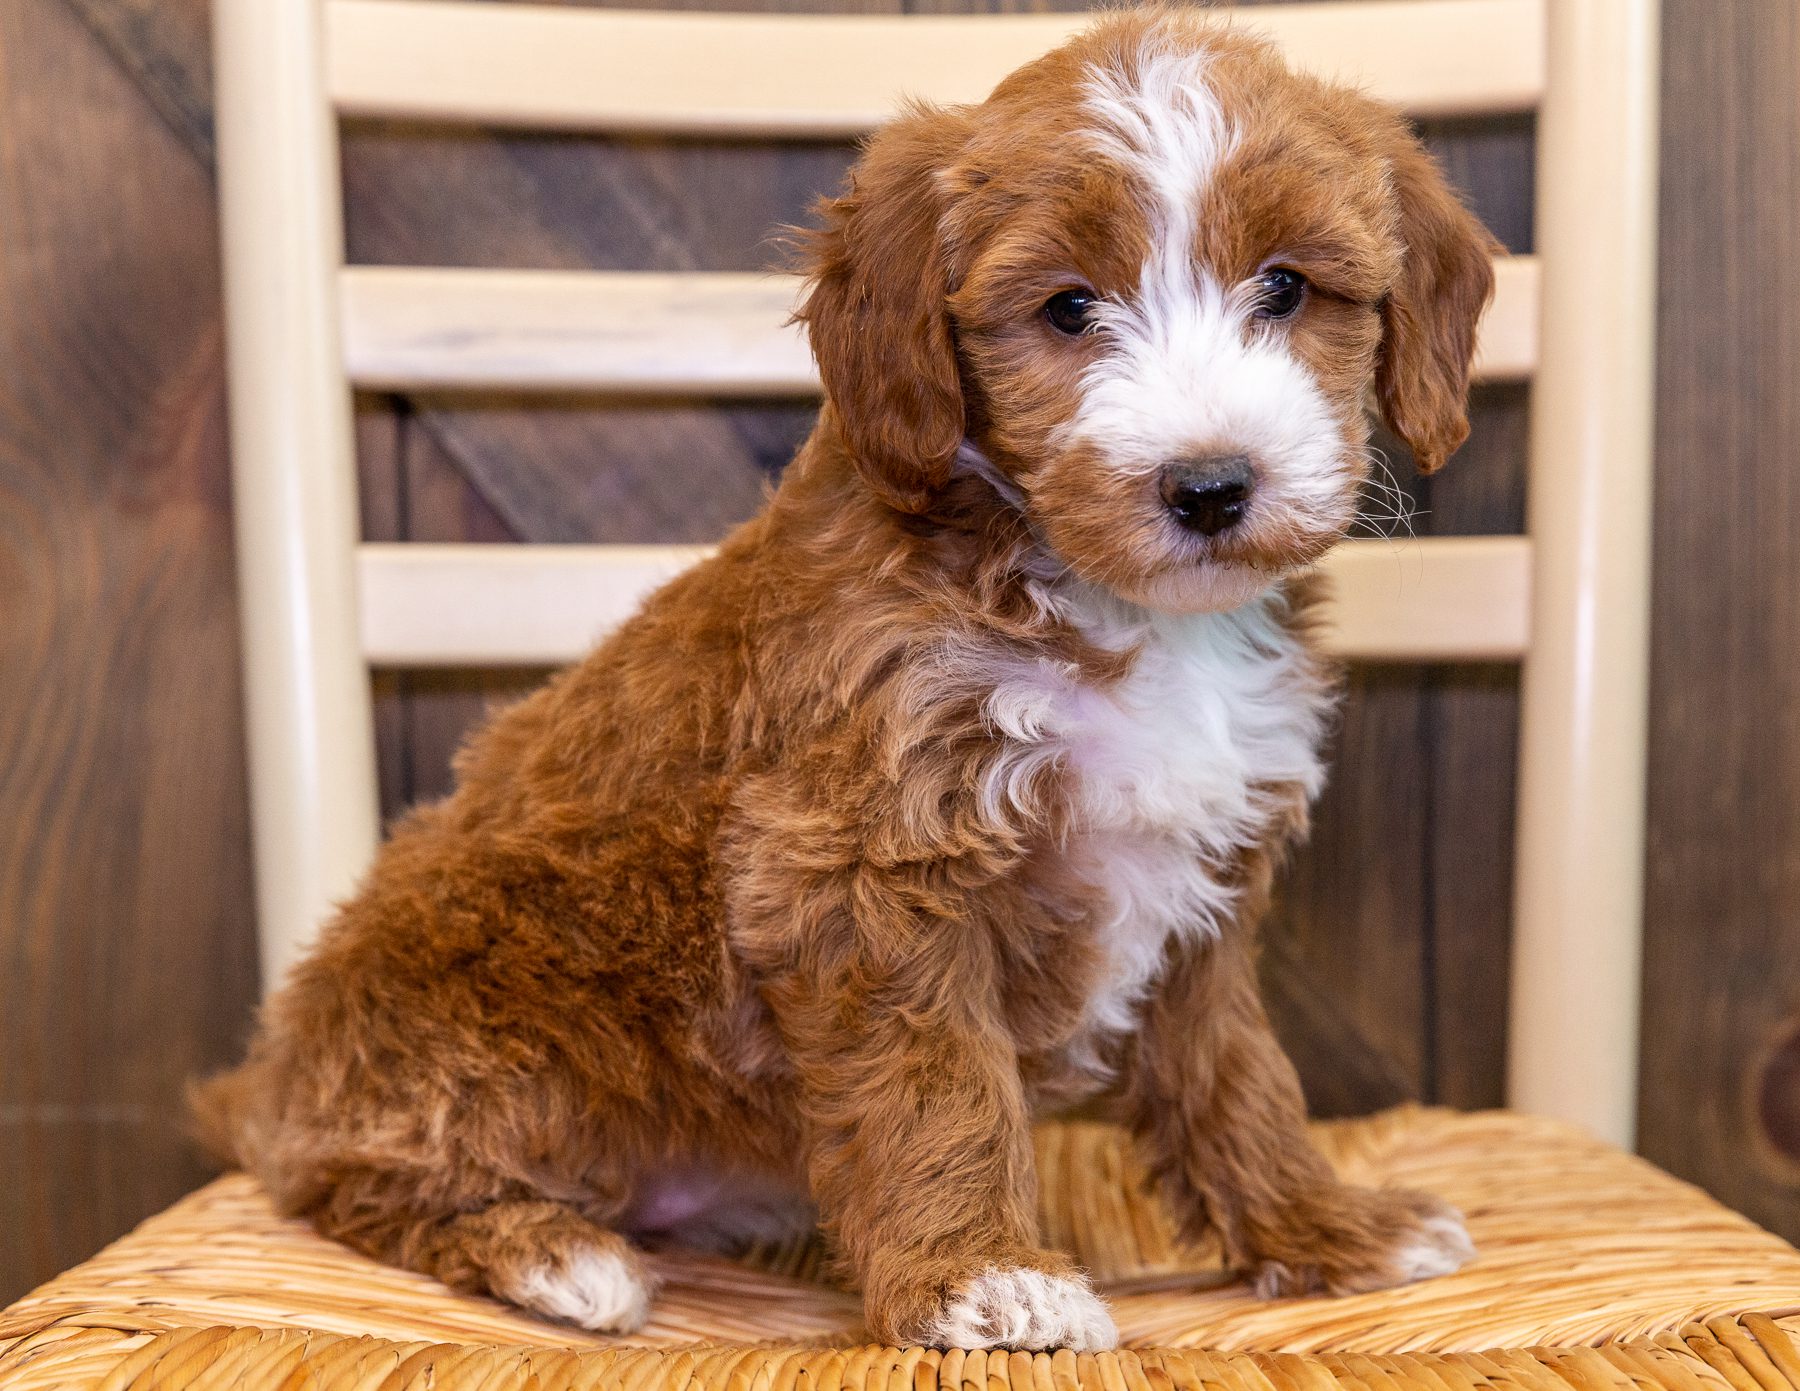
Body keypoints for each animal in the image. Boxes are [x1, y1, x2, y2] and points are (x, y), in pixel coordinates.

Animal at [193, 10, 1490, 1353]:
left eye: (1286, 286)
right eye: (1069, 308)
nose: (1210, 484)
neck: (1110, 603)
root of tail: (274, 1074)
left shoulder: (1205, 890)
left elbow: (1234, 1071)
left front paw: (1323, 1225)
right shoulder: (858, 862)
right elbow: (935, 1082)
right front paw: (984, 1274)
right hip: (460, 1026)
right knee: (345, 1177)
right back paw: (551, 1252)